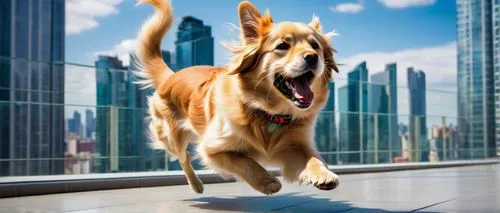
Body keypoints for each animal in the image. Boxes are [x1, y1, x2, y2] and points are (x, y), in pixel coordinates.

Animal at [135, 0, 340, 195]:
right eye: (283, 46)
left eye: (315, 46)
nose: (312, 57)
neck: (269, 113)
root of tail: (171, 76)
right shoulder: (212, 148)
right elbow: (245, 162)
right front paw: (267, 182)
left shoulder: (296, 146)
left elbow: (312, 158)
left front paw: (323, 173)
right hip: (173, 138)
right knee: (183, 158)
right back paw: (196, 185)